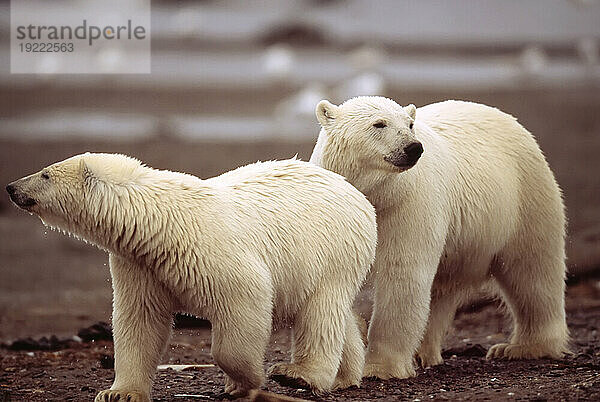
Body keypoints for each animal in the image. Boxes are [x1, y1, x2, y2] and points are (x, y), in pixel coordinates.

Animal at [5, 153, 376, 398]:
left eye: (45, 174)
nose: (11, 187)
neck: (159, 222)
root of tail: (350, 188)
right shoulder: (140, 263)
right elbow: (139, 319)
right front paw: (118, 392)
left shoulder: (215, 250)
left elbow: (245, 301)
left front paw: (244, 381)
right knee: (332, 313)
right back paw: (344, 375)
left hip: (331, 249)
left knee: (320, 310)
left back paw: (300, 376)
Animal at [312, 96, 568, 380]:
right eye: (379, 124)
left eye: (410, 124)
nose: (413, 148)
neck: (379, 194)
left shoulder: (407, 205)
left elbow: (403, 276)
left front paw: (380, 367)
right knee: (441, 290)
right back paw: (423, 354)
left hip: (524, 197)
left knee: (532, 271)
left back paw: (521, 347)